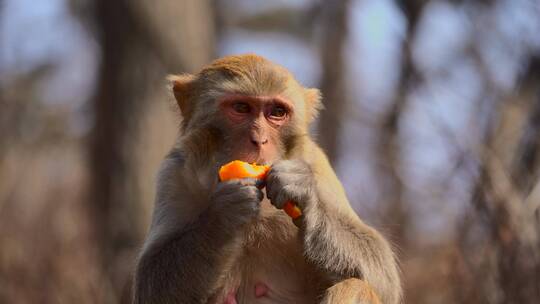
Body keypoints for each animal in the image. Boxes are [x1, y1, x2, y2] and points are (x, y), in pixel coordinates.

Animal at [133, 55, 400, 304]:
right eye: (241, 108)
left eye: (277, 112)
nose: (259, 140)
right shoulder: (174, 170)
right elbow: (150, 284)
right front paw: (223, 215)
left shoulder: (317, 164)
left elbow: (385, 277)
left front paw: (305, 196)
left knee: (356, 285)